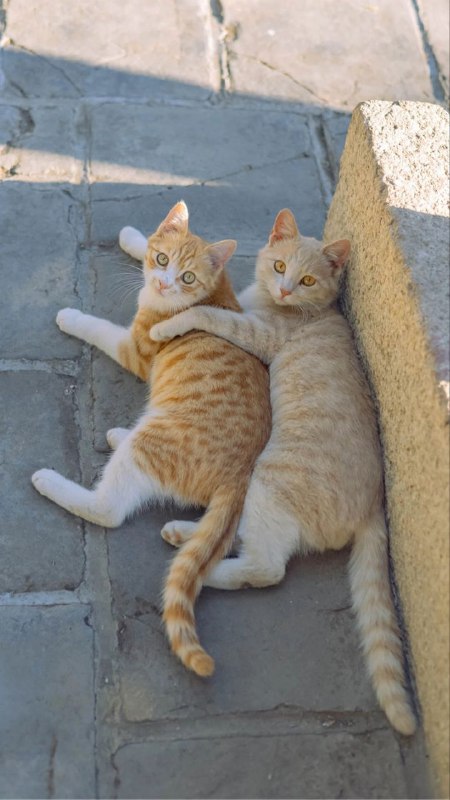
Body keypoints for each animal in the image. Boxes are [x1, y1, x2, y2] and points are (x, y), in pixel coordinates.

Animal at [31, 201, 271, 677]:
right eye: (163, 261)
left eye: (188, 278)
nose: (162, 282)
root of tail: (244, 471)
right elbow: (145, 240)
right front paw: (133, 237)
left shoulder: (132, 349)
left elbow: (100, 329)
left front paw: (73, 317)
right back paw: (119, 437)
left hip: (151, 445)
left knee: (108, 510)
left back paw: (51, 480)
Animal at [150, 208, 417, 736]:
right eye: (278, 267)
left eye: (308, 280)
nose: (286, 290)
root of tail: (375, 504)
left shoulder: (257, 333)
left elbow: (208, 313)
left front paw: (169, 325)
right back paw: (182, 535)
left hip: (268, 481)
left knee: (265, 567)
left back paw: (202, 569)